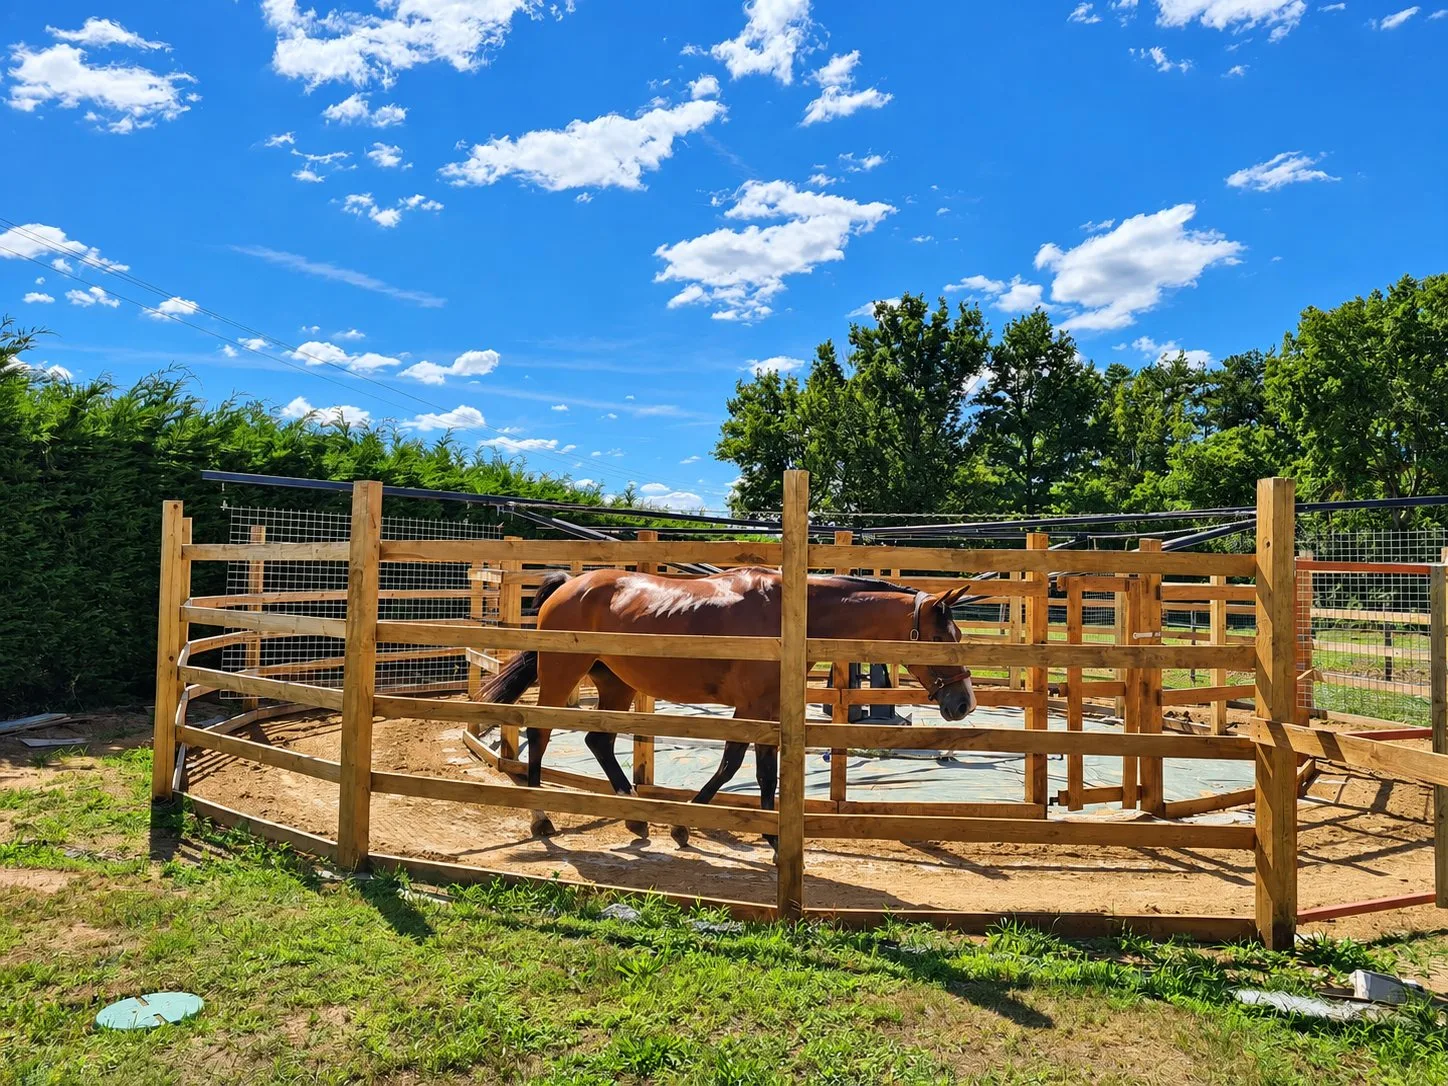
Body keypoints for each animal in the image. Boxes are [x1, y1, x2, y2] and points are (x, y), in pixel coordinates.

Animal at [478, 567, 978, 848]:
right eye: (942, 637)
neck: (789, 617)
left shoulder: (765, 709)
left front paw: (743, 829)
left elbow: (750, 768)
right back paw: (541, 818)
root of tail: (570, 585)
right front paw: (710, 829)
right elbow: (740, 765)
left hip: (615, 683)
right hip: (562, 675)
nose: (964, 703)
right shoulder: (755, 706)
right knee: (541, 733)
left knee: (598, 740)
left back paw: (636, 818)